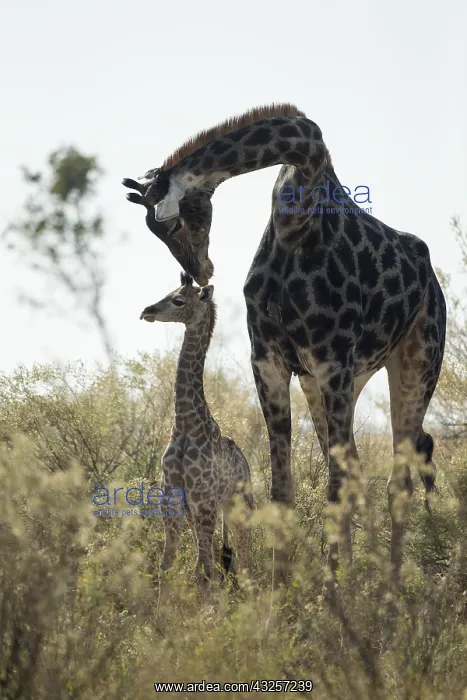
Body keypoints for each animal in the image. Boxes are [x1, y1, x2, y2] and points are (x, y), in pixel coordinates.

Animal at [140, 272, 253, 600]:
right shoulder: (173, 496)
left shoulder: (204, 498)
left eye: (179, 300)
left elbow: (202, 571)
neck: (186, 423)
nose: (147, 311)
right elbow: (168, 565)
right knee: (221, 559)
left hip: (239, 507)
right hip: (204, 512)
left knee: (244, 563)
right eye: (169, 293)